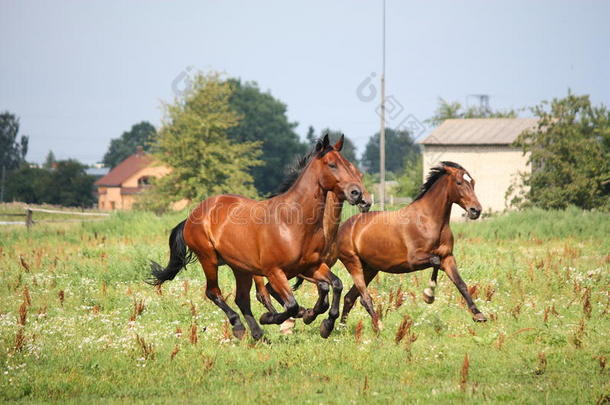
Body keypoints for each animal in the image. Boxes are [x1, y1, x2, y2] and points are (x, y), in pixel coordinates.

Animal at [147, 134, 370, 340]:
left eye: (350, 166)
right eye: (332, 165)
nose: (358, 194)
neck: (292, 221)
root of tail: (192, 215)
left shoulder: (311, 266)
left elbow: (334, 285)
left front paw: (324, 324)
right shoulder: (274, 271)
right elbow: (290, 304)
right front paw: (274, 318)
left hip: (241, 268)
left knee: (241, 299)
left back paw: (257, 334)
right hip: (208, 259)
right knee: (214, 292)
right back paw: (240, 327)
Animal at [332, 160, 484, 328]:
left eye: (473, 182)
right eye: (459, 182)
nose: (476, 210)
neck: (428, 221)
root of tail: (343, 227)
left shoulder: (448, 257)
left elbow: (460, 283)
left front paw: (478, 315)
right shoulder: (414, 259)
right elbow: (435, 261)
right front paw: (428, 295)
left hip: (370, 269)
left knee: (349, 297)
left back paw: (342, 328)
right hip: (353, 264)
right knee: (364, 298)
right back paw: (378, 326)